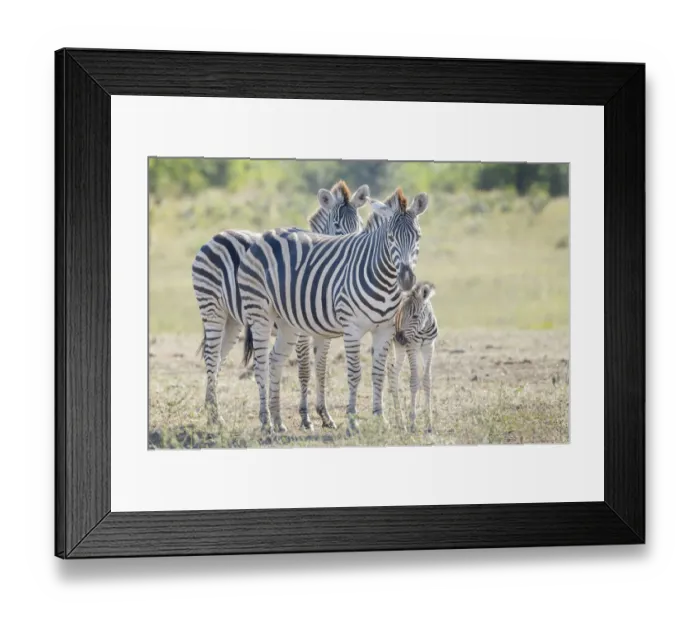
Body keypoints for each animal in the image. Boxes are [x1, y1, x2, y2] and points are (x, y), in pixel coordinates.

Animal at [191, 180, 369, 425]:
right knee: (210, 357)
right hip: (212, 309)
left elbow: (321, 369)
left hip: (232, 320)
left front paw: (325, 415)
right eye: (336, 225)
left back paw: (212, 413)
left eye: (360, 224)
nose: (354, 247)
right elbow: (304, 369)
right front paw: (305, 418)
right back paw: (215, 417)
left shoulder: (323, 332)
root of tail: (217, 236)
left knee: (218, 358)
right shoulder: (301, 330)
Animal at [239, 188, 430, 434]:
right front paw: (352, 423)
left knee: (275, 360)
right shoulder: (352, 328)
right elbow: (354, 374)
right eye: (390, 237)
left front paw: (381, 420)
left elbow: (378, 373)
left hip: (287, 323)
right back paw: (265, 422)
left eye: (418, 237)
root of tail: (266, 234)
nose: (406, 279)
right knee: (261, 364)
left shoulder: (384, 330)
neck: (384, 279)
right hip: (260, 313)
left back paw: (278, 420)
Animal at [388, 281, 439, 433]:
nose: (399, 337)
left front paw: (429, 424)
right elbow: (414, 381)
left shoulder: (429, 347)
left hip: (400, 348)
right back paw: (399, 421)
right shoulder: (412, 347)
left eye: (415, 316)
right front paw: (412, 424)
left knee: (393, 373)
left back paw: (399, 422)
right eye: (401, 312)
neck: (424, 329)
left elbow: (427, 381)